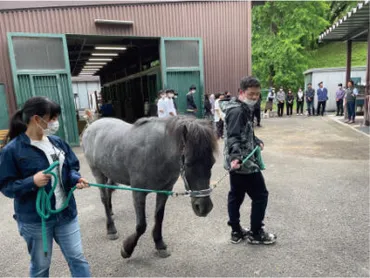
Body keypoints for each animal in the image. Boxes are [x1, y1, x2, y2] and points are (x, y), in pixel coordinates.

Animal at [81, 115, 217, 258]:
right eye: (189, 163)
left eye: (212, 162)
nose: (204, 207)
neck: (157, 151)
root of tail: (92, 125)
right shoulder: (138, 193)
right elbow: (141, 225)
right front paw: (127, 248)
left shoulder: (164, 191)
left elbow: (159, 217)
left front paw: (160, 244)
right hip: (98, 173)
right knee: (104, 198)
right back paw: (111, 229)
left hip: (111, 172)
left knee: (108, 192)